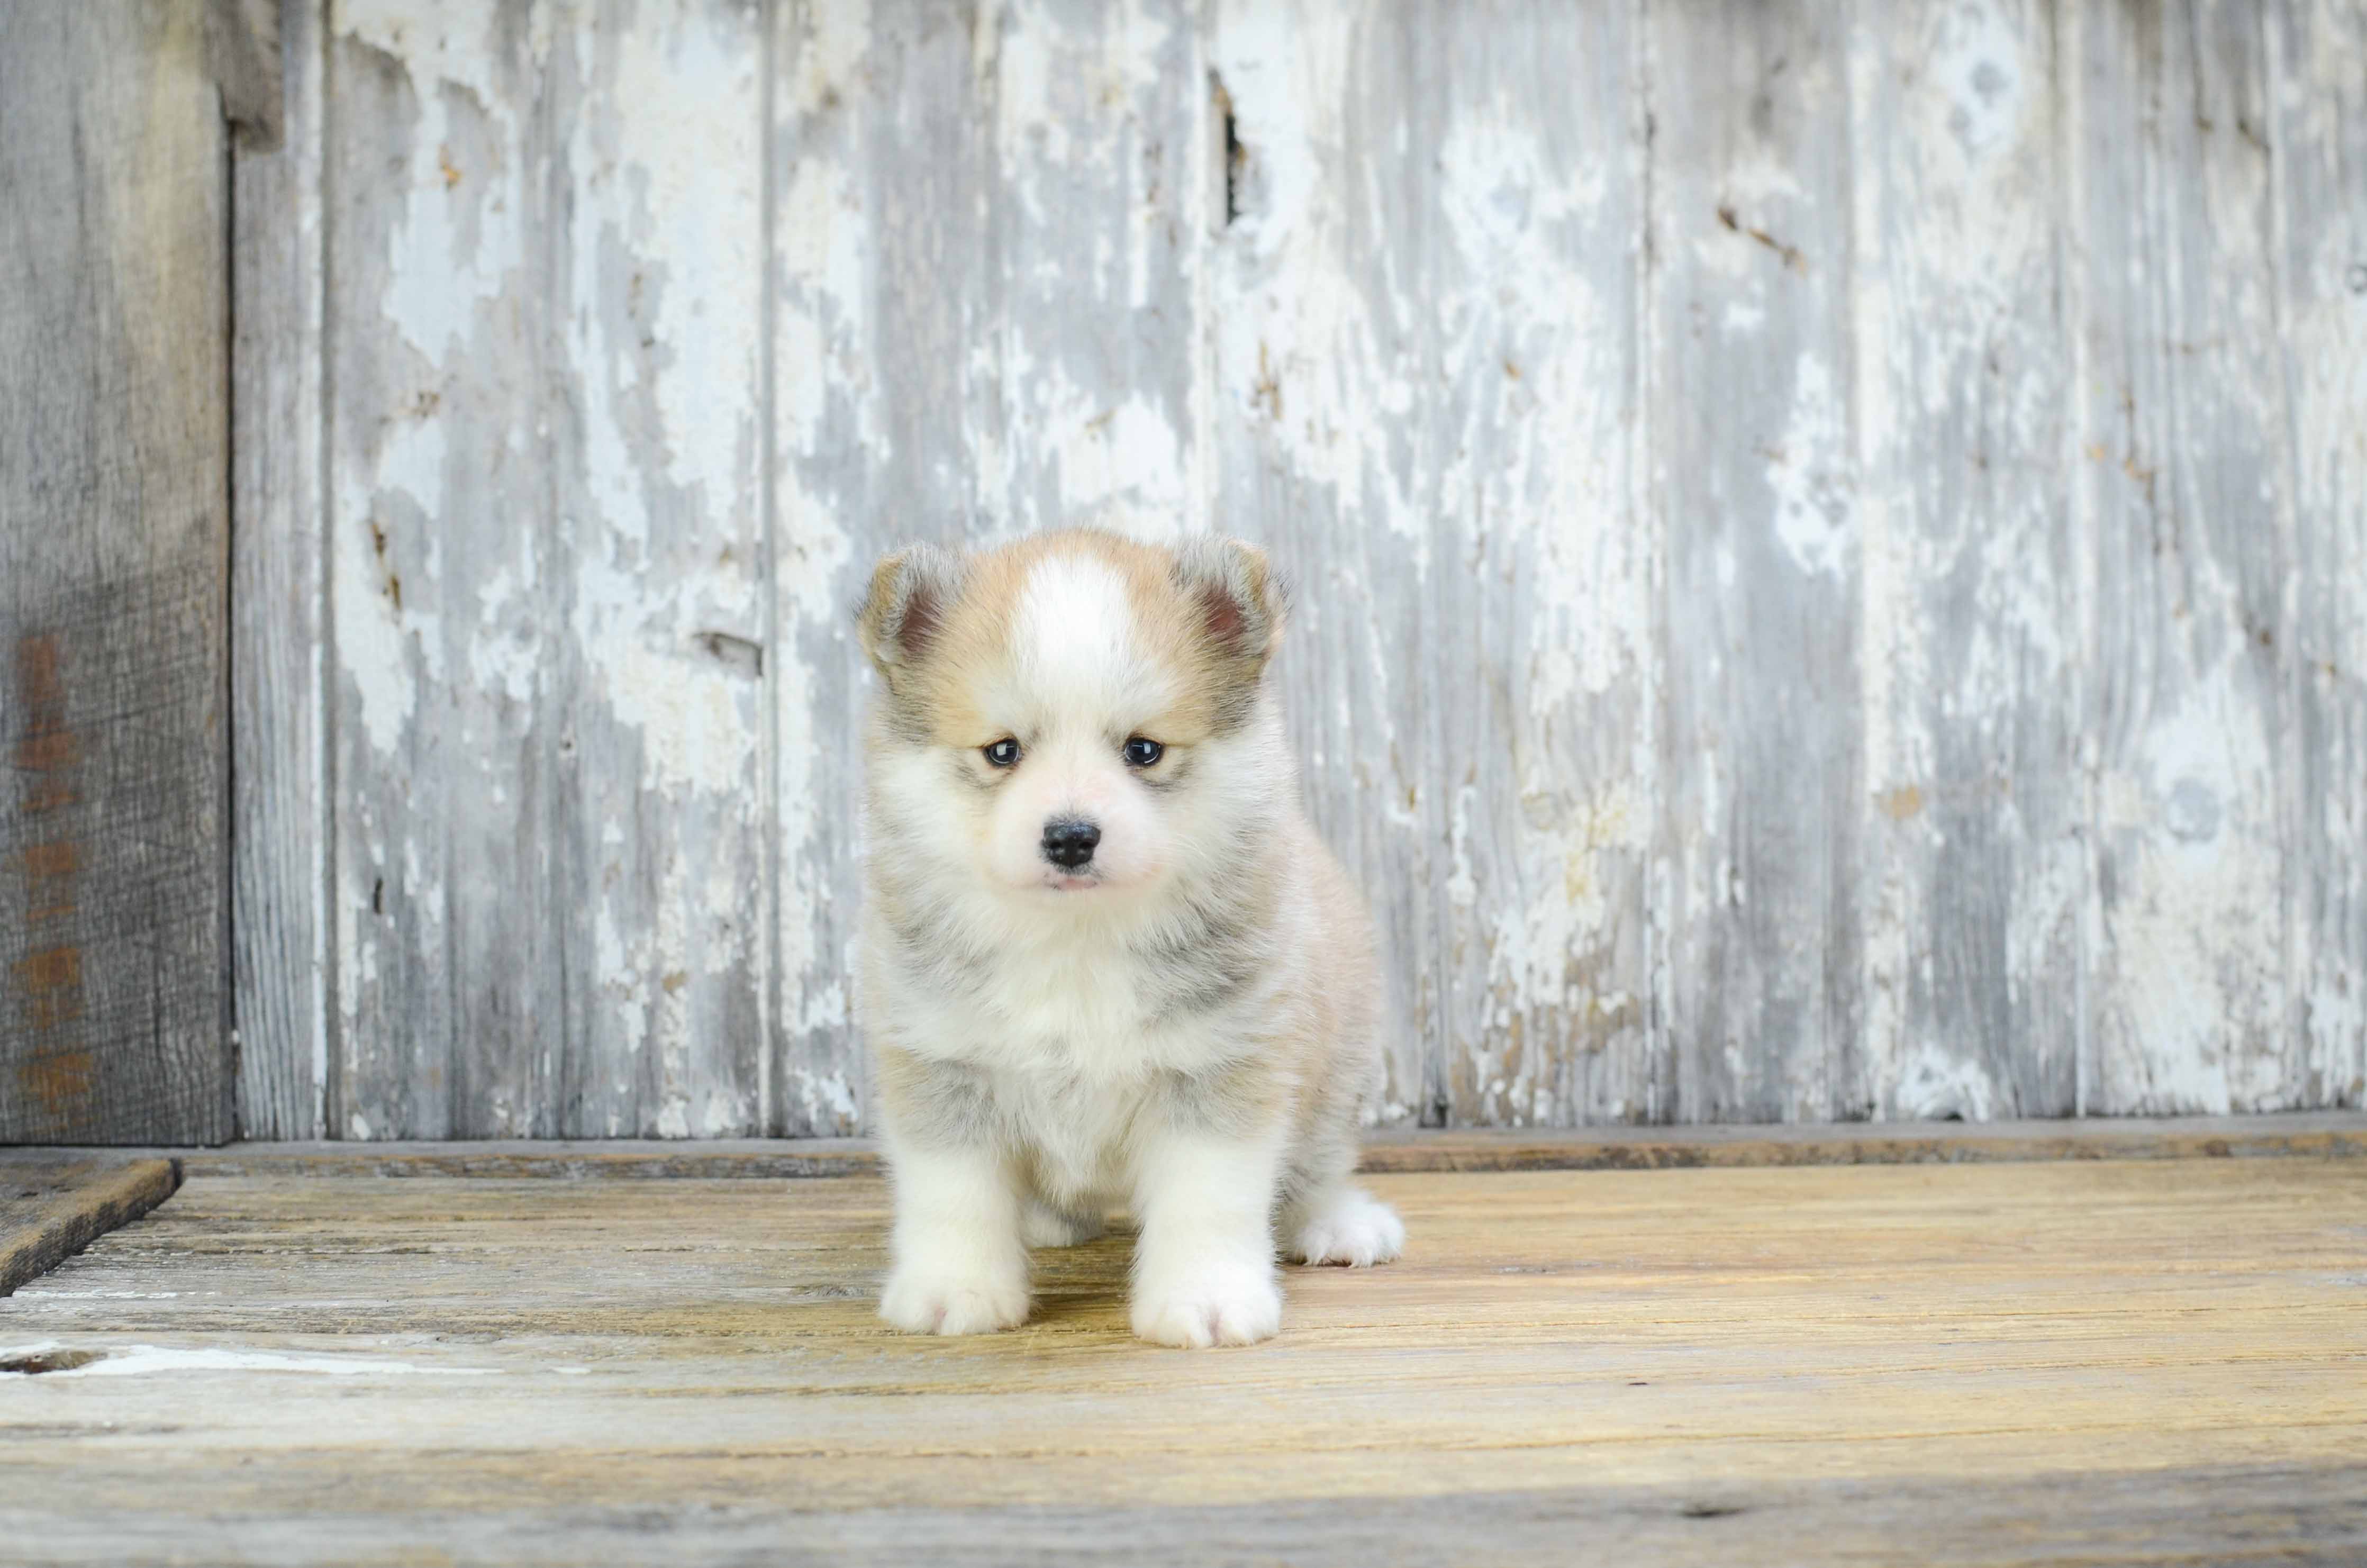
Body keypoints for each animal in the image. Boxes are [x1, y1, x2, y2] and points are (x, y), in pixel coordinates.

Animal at [857, 528, 1392, 1355]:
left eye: (1144, 750)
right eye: (1002, 751)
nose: (1071, 836)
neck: (1076, 940)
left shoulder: (1219, 1070)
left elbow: (1209, 1202)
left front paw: (1206, 1297)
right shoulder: (944, 1066)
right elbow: (955, 1197)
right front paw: (957, 1289)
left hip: (1339, 1068)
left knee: (1316, 1163)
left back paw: (1335, 1223)